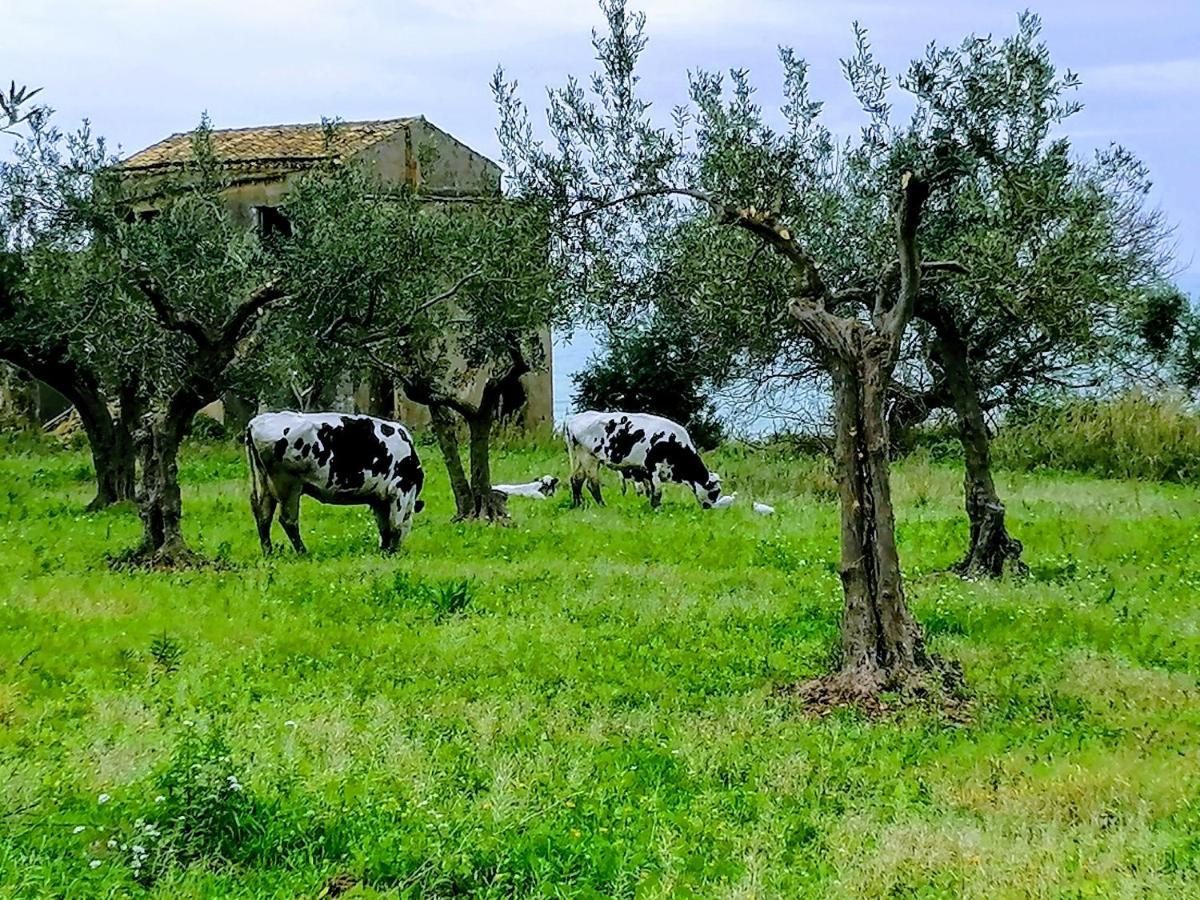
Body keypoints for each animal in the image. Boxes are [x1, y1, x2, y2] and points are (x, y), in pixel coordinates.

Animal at [241, 410, 424, 554]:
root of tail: (256, 422)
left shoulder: (379, 499)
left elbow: (385, 526)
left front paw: (385, 550)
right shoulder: (401, 490)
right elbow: (396, 525)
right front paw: (392, 551)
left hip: (265, 484)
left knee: (263, 516)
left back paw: (269, 552)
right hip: (288, 486)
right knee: (288, 520)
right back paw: (303, 552)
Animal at [561, 412, 720, 511]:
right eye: (715, 492)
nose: (711, 509)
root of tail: (574, 419)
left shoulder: (645, 473)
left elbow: (649, 491)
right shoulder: (653, 467)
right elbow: (657, 492)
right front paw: (656, 508)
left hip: (581, 458)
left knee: (576, 479)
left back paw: (578, 504)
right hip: (589, 458)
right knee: (592, 484)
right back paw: (602, 506)